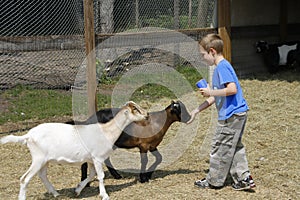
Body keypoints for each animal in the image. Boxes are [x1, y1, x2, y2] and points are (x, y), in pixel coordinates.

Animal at [0, 101, 149, 200]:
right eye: (136, 110)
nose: (147, 115)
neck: (106, 131)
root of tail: (28, 135)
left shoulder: (91, 159)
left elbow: (91, 175)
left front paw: (77, 190)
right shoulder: (98, 157)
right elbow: (100, 176)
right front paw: (105, 195)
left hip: (44, 160)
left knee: (42, 175)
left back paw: (56, 193)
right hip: (38, 158)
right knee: (24, 179)